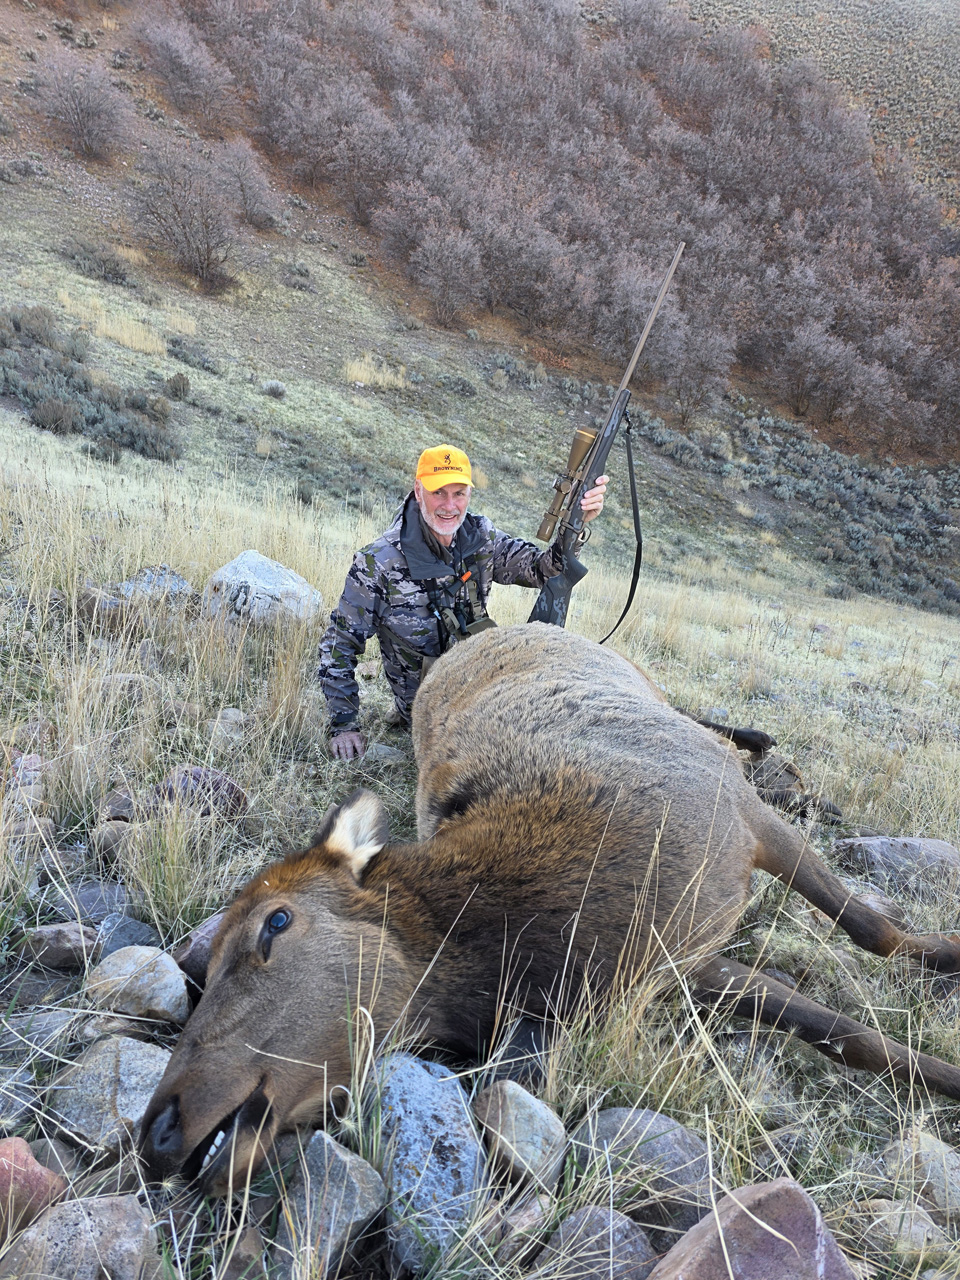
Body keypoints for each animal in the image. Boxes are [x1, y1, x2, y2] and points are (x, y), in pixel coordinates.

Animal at [140, 623, 960, 1195]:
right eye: (201, 972)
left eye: (275, 923)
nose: (158, 1129)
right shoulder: (682, 966)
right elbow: (849, 1036)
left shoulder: (741, 826)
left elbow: (876, 934)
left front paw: (946, 963)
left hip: (658, 697)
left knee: (718, 731)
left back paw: (778, 757)